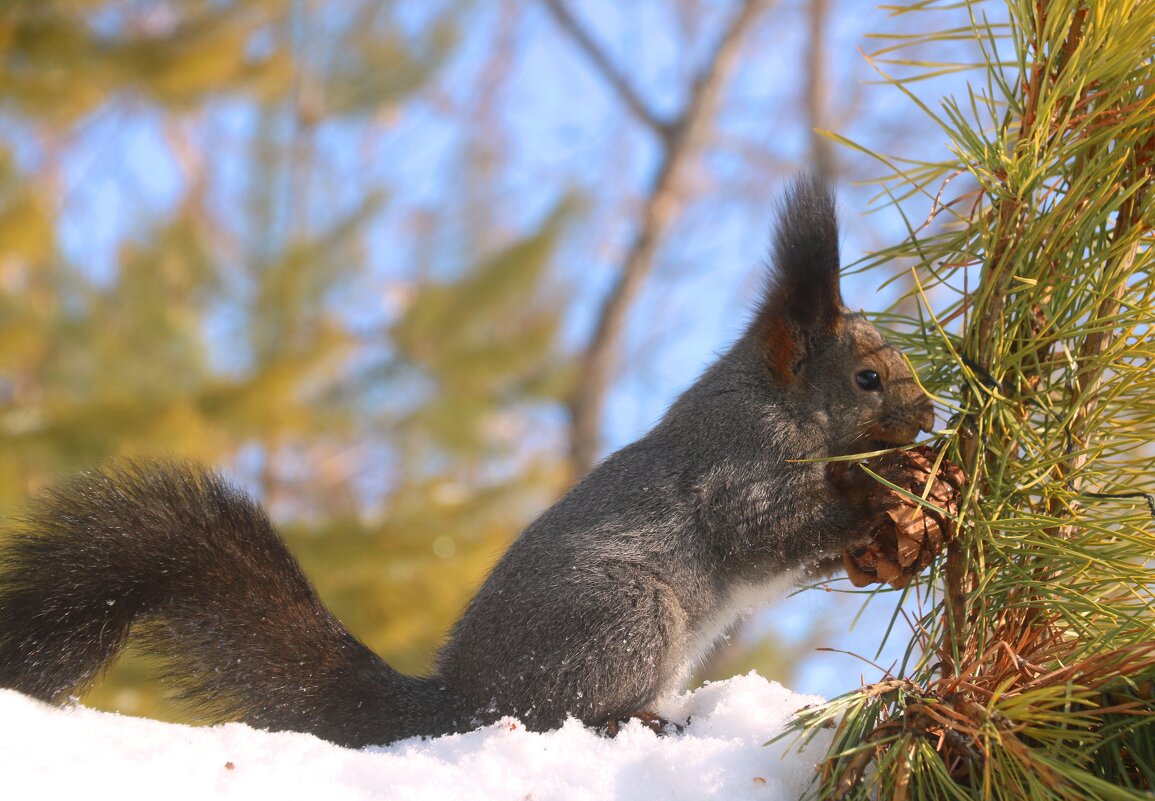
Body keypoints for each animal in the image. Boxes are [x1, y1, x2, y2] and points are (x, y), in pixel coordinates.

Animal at [0, 173, 928, 747]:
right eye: (868, 377)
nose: (930, 413)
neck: (779, 403)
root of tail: (458, 699)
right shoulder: (734, 463)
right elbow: (758, 526)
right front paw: (881, 487)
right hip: (621, 616)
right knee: (559, 712)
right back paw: (632, 720)